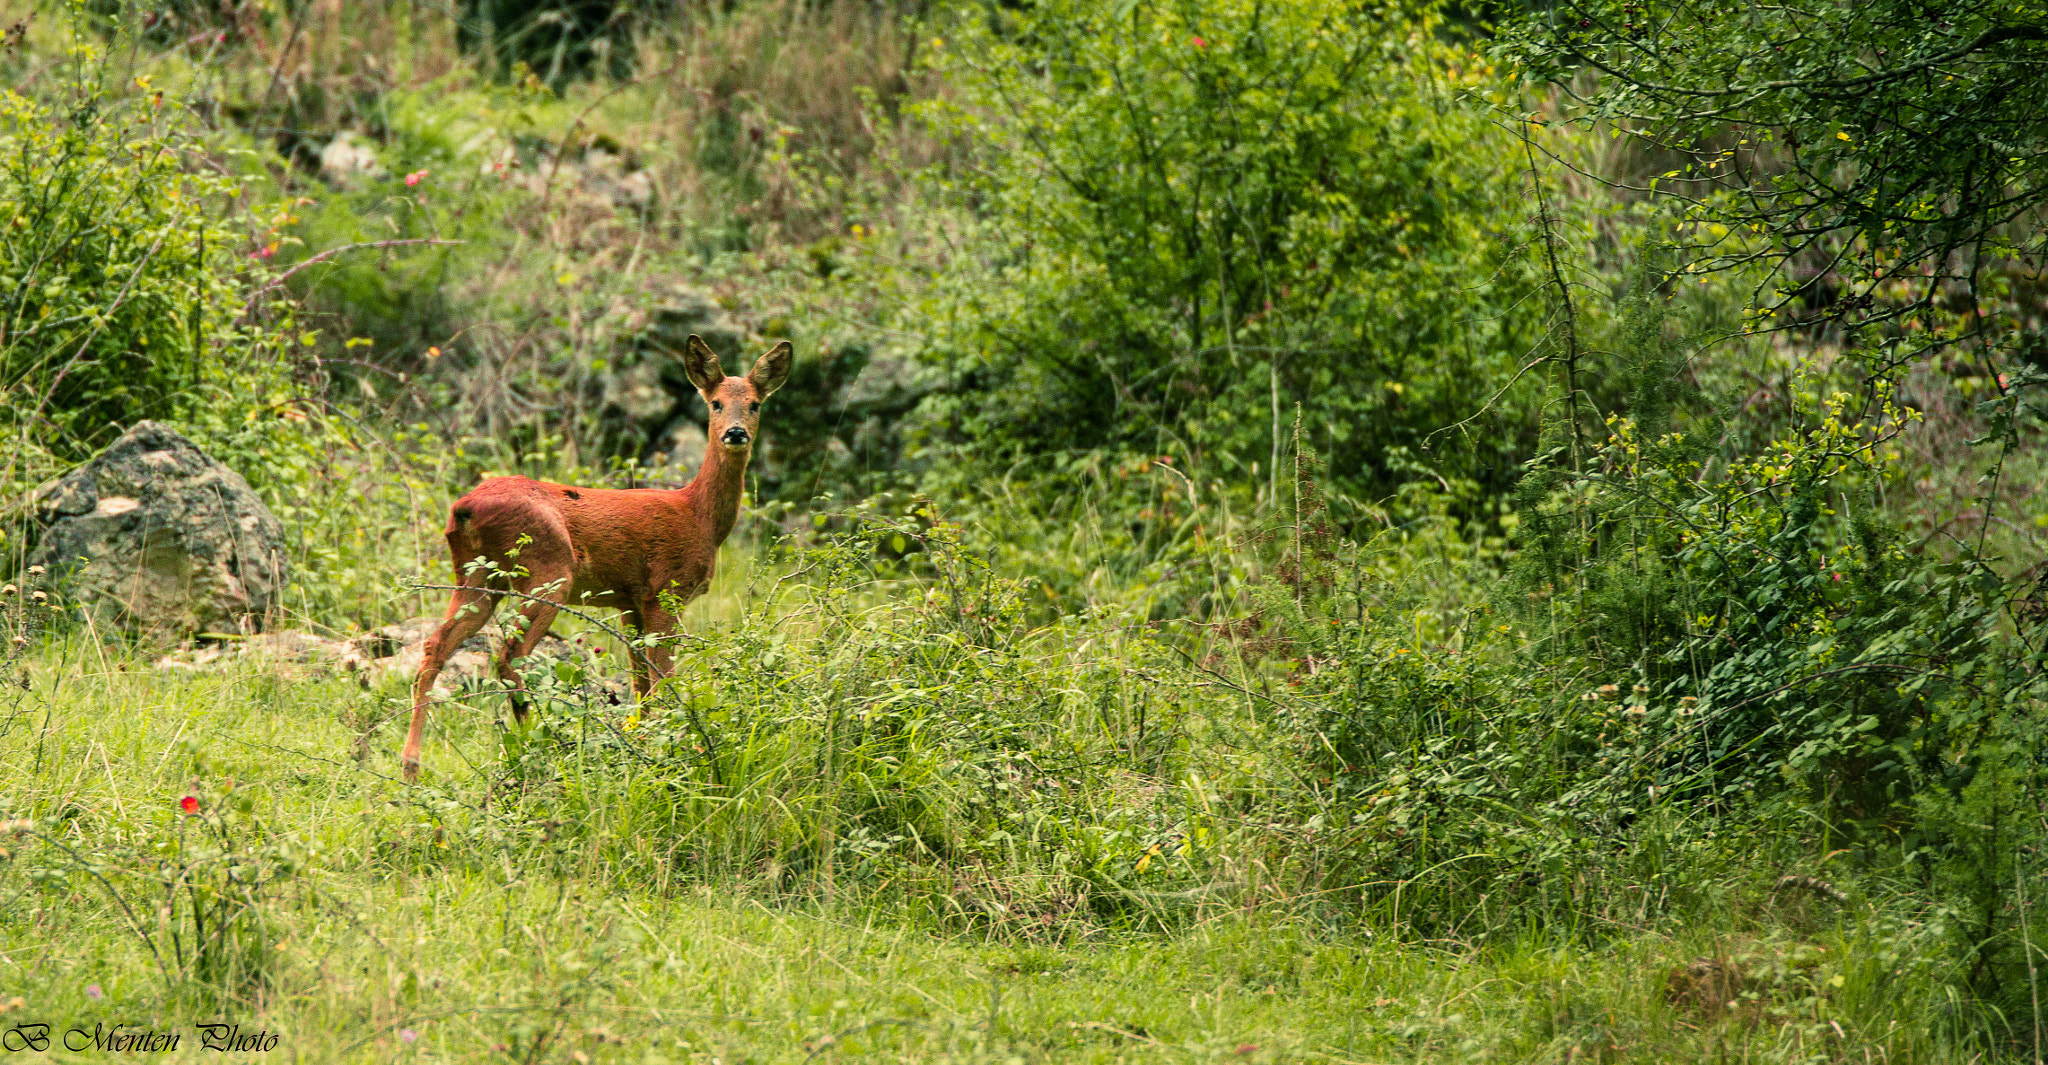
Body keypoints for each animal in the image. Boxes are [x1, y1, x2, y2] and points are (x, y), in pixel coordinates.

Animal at [399, 331, 790, 782]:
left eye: (755, 403)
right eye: (716, 403)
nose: (736, 433)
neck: (698, 516)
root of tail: (463, 508)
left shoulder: (631, 601)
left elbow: (641, 685)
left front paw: (645, 743)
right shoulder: (666, 591)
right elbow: (663, 679)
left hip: (476, 576)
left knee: (436, 646)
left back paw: (412, 766)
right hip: (547, 570)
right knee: (511, 657)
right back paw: (540, 746)